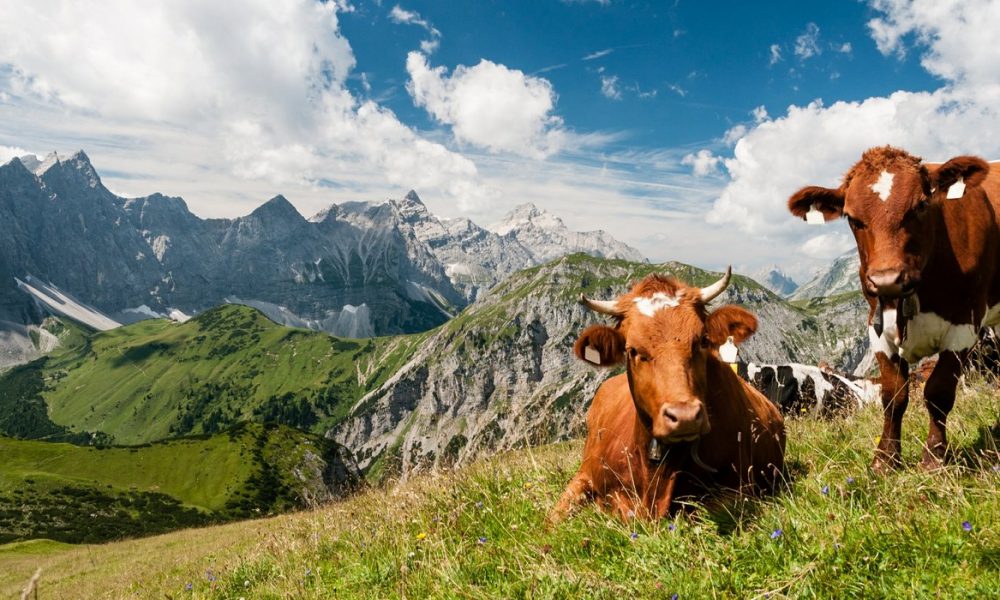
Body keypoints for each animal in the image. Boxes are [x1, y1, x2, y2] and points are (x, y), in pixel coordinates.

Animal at [788, 144, 1000, 468]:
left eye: (922, 205)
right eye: (852, 218)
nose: (887, 279)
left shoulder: (965, 324)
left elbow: (938, 392)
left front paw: (933, 458)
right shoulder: (877, 327)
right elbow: (893, 395)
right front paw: (885, 459)